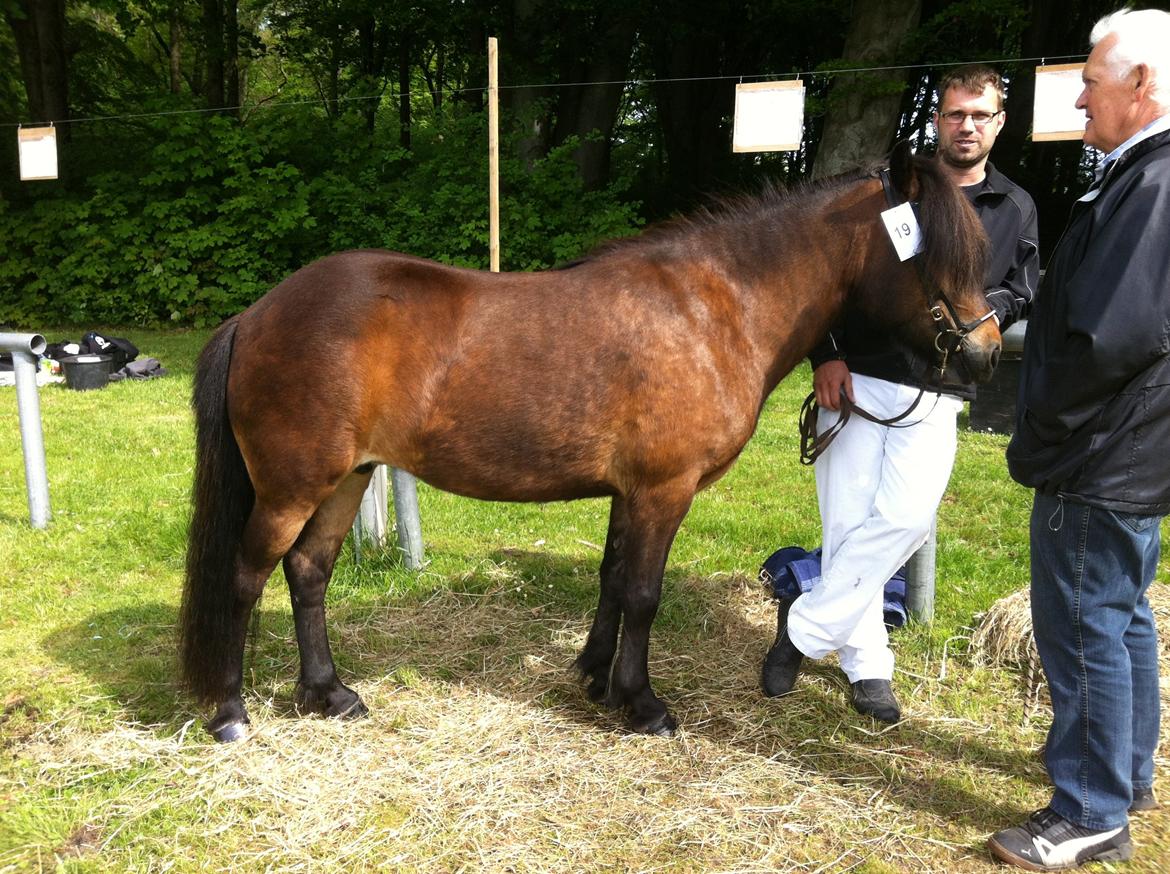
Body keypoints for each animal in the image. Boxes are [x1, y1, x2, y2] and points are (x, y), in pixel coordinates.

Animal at [180, 140, 996, 744]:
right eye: (934, 254)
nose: (986, 353)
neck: (715, 308)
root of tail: (256, 313)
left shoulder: (629, 493)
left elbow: (611, 579)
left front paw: (596, 677)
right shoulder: (664, 491)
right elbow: (642, 593)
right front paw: (642, 703)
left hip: (346, 479)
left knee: (308, 572)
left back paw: (327, 693)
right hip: (292, 487)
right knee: (245, 576)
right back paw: (230, 712)